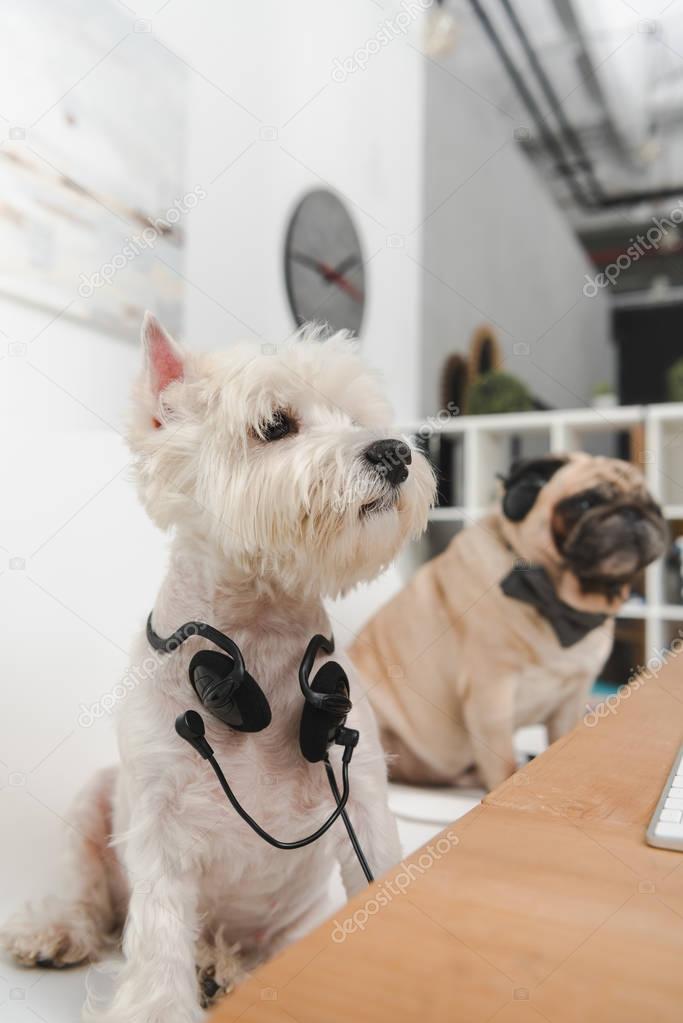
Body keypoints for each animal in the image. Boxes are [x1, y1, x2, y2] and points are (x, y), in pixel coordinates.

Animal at [1, 315, 431, 1023]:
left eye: (357, 418)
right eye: (276, 424)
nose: (395, 453)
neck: (258, 644)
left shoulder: (362, 794)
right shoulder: (160, 822)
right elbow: (156, 936)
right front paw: (158, 1007)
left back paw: (224, 969)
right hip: (93, 800)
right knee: (90, 898)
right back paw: (58, 931)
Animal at [349, 454, 670, 789]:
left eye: (655, 509)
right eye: (585, 502)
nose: (633, 512)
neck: (556, 602)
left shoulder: (570, 703)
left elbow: (561, 741)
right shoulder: (491, 694)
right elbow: (502, 762)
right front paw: (508, 782)